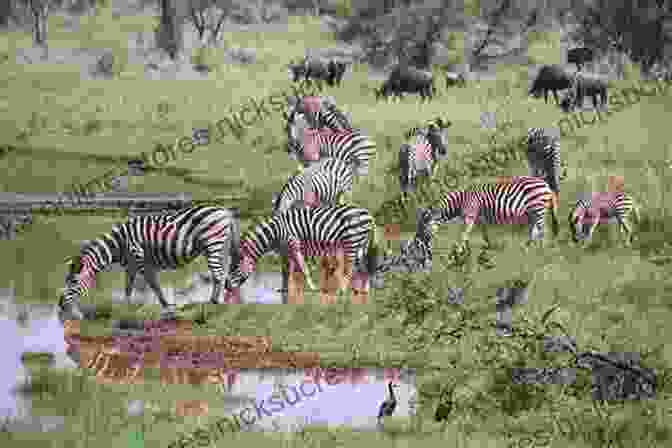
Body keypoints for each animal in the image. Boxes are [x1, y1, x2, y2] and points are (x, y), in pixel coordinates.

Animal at [57, 205, 240, 320]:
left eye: (73, 281)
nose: (60, 304)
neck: (119, 244)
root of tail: (225, 211)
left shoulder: (140, 259)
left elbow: (153, 285)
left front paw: (167, 307)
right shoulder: (131, 265)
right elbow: (129, 286)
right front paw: (127, 308)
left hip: (213, 243)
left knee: (217, 274)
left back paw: (214, 303)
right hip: (221, 246)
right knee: (224, 272)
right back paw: (224, 298)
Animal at [223, 206, 384, 298]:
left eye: (234, 268)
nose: (226, 287)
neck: (275, 233)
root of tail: (368, 214)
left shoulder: (294, 244)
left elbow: (303, 267)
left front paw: (312, 287)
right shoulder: (286, 250)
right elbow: (288, 269)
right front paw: (285, 289)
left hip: (352, 241)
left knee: (351, 267)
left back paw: (342, 290)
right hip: (361, 243)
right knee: (365, 265)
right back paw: (365, 290)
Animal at [428, 176, 560, 248]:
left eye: (425, 226)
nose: (428, 242)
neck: (461, 201)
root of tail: (547, 186)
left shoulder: (470, 215)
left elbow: (464, 233)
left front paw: (460, 249)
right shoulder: (479, 217)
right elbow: (484, 233)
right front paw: (488, 245)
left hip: (538, 208)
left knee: (542, 230)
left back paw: (540, 250)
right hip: (533, 211)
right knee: (535, 230)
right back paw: (528, 247)